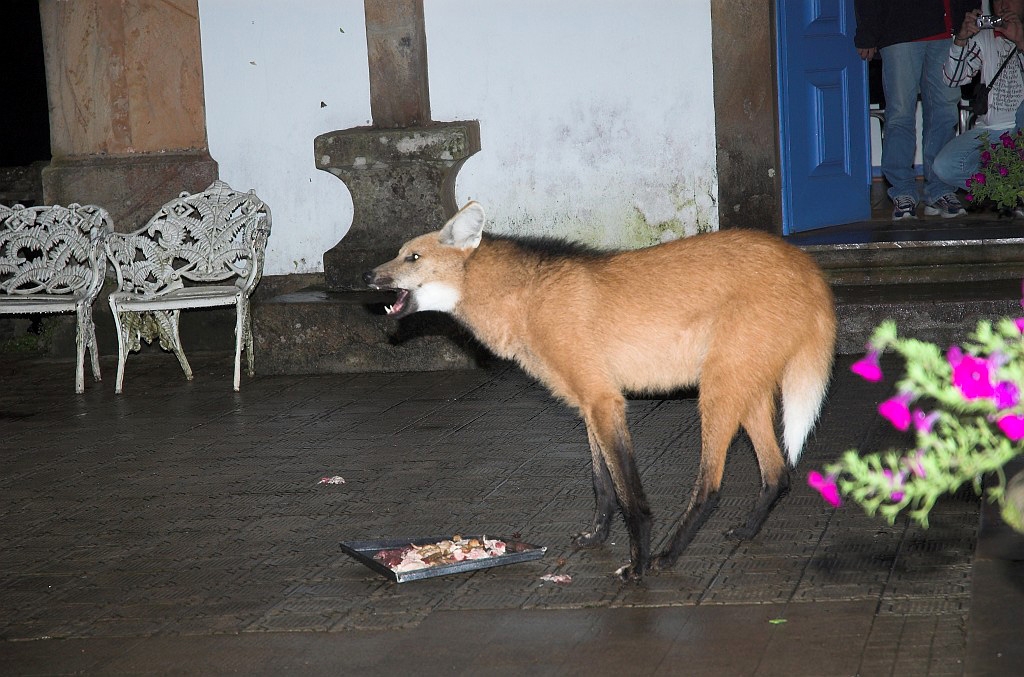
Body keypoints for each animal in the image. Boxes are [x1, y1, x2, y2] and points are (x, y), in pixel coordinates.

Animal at [364, 199, 835, 577]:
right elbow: (602, 486)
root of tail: (807, 266)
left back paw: (667, 557)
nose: (368, 275)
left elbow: (630, 498)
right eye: (398, 255)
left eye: (412, 257)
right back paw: (746, 531)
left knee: (712, 488)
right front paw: (595, 538)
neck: (525, 299)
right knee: (777, 473)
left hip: (717, 392)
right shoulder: (587, 402)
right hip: (743, 389)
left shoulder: (605, 402)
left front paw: (637, 565)